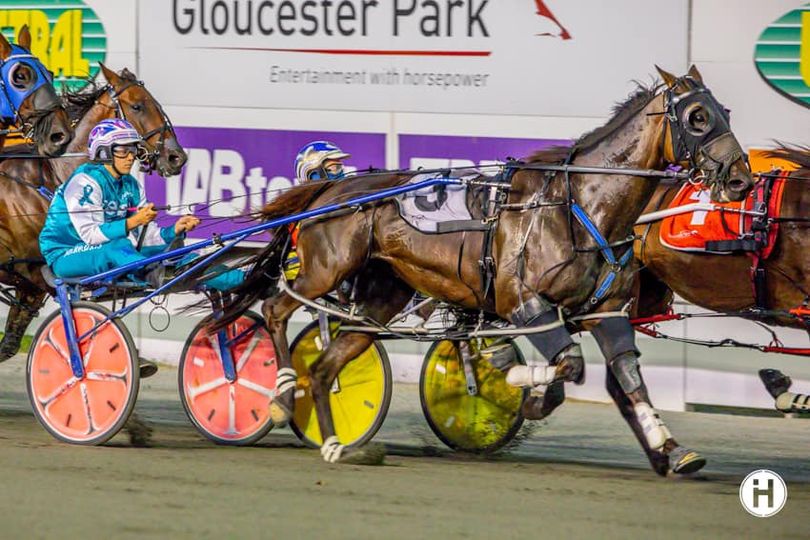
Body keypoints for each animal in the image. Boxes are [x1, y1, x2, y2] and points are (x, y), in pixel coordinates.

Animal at [219, 65, 753, 476]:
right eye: (697, 117)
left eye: (726, 112)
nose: (741, 178)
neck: (578, 206)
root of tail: (331, 189)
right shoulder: (524, 302)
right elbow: (568, 363)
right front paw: (518, 378)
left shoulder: (607, 313)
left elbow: (626, 377)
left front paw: (673, 450)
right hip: (327, 269)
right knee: (276, 307)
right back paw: (282, 393)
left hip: (379, 300)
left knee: (327, 365)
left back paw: (335, 444)